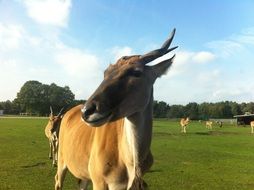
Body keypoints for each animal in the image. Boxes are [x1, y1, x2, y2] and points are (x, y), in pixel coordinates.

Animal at [54, 28, 178, 190]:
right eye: (105, 73)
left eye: (136, 72)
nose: (87, 111)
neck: (131, 163)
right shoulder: (99, 181)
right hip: (62, 161)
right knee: (57, 179)